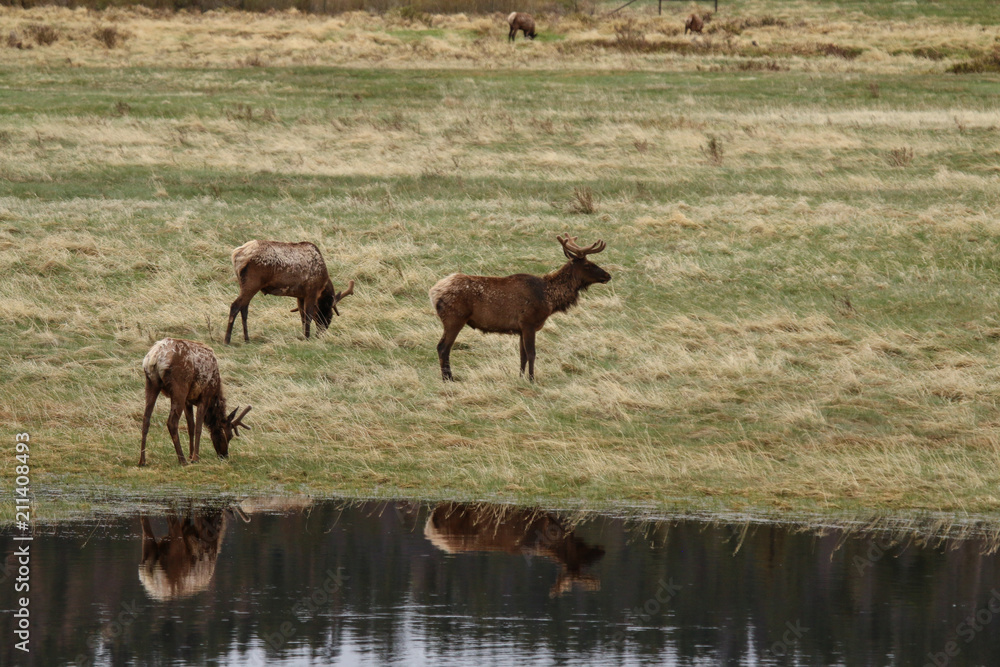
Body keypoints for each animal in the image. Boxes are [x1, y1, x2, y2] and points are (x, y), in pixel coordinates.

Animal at [139, 338, 251, 467]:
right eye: (230, 435)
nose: (224, 455)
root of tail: (155, 356)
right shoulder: (205, 395)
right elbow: (198, 428)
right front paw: (195, 458)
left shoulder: (188, 401)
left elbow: (191, 427)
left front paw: (191, 454)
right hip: (180, 387)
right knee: (172, 422)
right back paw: (182, 460)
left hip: (151, 382)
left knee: (146, 419)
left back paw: (142, 460)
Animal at [225, 240, 354, 344]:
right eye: (329, 315)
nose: (321, 334)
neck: (323, 285)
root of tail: (236, 255)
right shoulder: (311, 291)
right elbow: (308, 315)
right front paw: (307, 337)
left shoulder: (300, 296)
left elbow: (302, 316)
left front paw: (303, 336)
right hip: (252, 283)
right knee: (235, 306)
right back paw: (227, 340)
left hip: (244, 285)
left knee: (244, 309)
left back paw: (247, 339)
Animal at [429, 234, 610, 382]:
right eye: (588, 265)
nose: (607, 275)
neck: (548, 299)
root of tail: (433, 292)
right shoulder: (529, 322)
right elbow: (532, 353)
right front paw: (532, 379)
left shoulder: (520, 328)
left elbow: (522, 355)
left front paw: (521, 377)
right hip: (455, 318)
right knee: (443, 347)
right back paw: (448, 378)